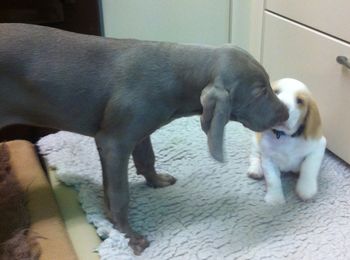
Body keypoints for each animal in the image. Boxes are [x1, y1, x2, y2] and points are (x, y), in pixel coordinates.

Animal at [0, 23, 288, 253]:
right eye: (260, 91)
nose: (286, 112)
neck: (178, 73)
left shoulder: (139, 131)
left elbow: (147, 158)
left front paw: (156, 181)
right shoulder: (113, 143)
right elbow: (118, 194)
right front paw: (127, 234)